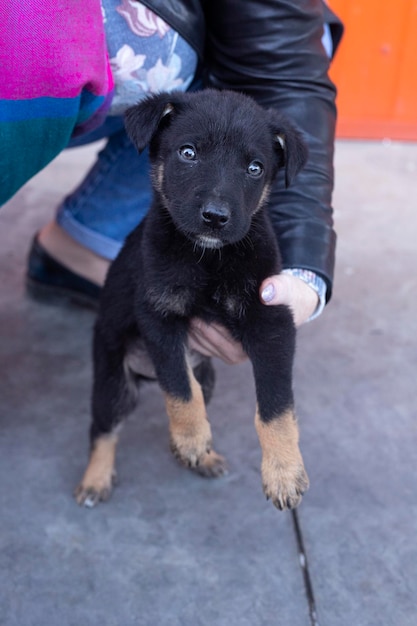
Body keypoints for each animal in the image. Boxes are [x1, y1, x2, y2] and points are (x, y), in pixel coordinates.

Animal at [75, 86, 308, 508]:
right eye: (188, 153)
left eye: (255, 168)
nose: (215, 217)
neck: (210, 258)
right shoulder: (158, 313)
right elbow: (179, 385)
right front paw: (191, 437)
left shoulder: (271, 321)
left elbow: (277, 403)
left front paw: (284, 471)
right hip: (113, 381)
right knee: (103, 428)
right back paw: (96, 478)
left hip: (209, 374)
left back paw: (206, 458)